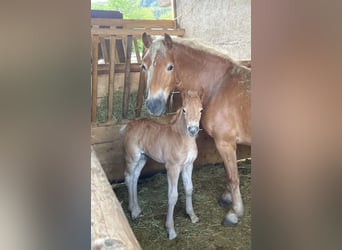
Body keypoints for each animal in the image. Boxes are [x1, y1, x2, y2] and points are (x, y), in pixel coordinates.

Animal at [119, 90, 202, 240]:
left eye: (201, 110)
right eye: (184, 110)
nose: (193, 130)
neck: (183, 139)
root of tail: (128, 126)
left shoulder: (188, 165)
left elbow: (189, 189)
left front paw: (192, 216)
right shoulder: (173, 168)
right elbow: (173, 196)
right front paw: (171, 230)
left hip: (143, 158)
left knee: (135, 178)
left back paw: (137, 209)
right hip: (132, 158)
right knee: (128, 177)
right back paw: (133, 211)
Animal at [142, 32, 251, 226]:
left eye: (170, 67)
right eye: (143, 66)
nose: (153, 105)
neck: (219, 84)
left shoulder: (225, 142)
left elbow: (233, 177)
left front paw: (234, 213)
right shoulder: (226, 144)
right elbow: (228, 173)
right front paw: (227, 198)